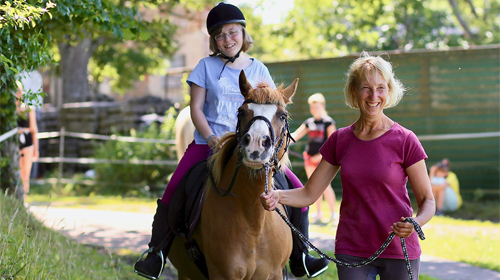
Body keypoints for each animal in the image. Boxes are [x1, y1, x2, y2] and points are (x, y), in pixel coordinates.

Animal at [168, 71, 298, 278]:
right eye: (241, 112)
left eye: (283, 116)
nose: (255, 146)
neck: (255, 222)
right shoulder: (222, 274)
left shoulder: (274, 274)